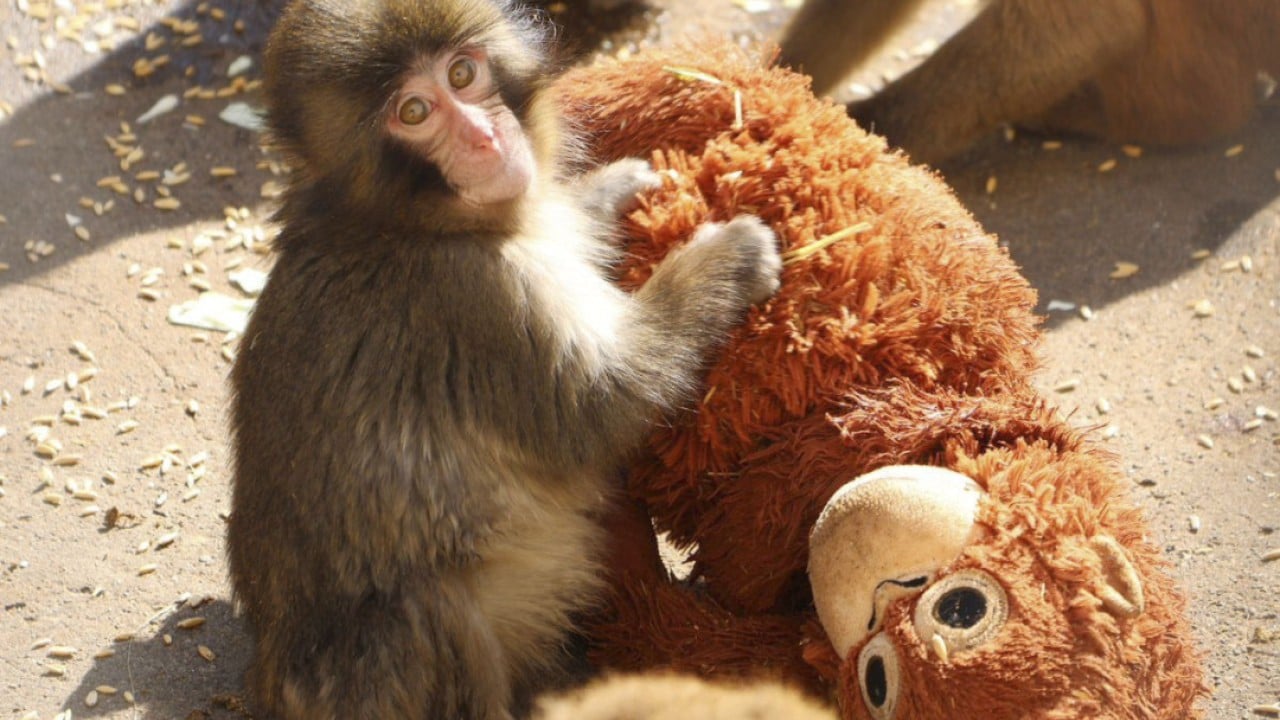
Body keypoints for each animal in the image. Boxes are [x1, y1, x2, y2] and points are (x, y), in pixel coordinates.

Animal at [225, 1, 782, 719]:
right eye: (413, 112)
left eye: (463, 74)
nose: (485, 139)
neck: (404, 222)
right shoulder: (478, 298)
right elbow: (600, 407)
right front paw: (728, 257)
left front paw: (610, 190)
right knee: (429, 608)